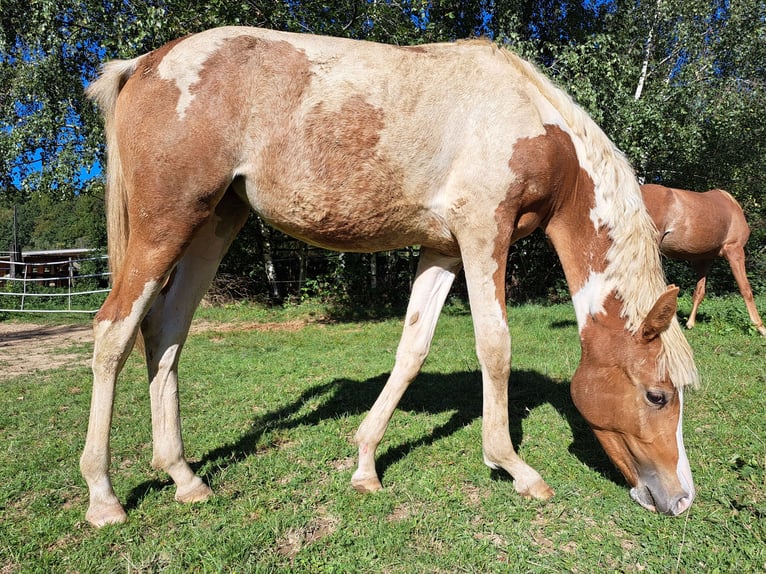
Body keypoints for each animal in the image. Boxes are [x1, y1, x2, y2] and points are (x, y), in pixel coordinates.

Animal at [84, 28, 704, 532]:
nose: (681, 500)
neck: (533, 124)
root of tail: (145, 63)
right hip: (167, 223)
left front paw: (364, 463)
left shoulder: (443, 249)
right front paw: (514, 466)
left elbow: (413, 348)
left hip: (215, 221)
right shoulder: (483, 235)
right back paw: (104, 498)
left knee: (165, 332)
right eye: (657, 395)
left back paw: (184, 478)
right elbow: (495, 346)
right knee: (114, 329)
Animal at [644, 184, 764, 338]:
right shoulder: (734, 250)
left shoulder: (704, 259)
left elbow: (699, 292)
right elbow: (746, 289)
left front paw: (690, 323)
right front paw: (760, 327)